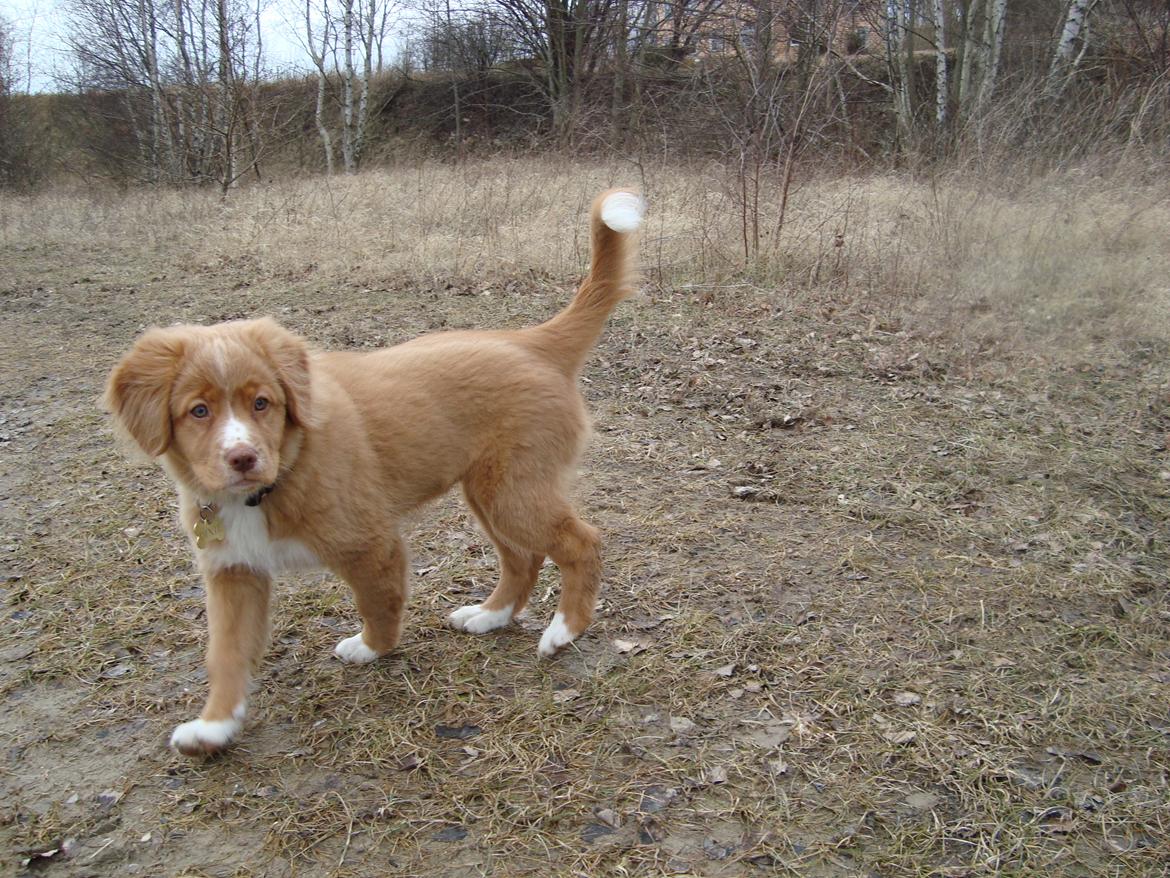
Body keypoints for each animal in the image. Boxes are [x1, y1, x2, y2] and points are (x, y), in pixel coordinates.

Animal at [105, 190, 645, 758]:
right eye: (198, 412)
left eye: (262, 403)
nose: (243, 458)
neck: (277, 476)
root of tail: (532, 341)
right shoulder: (235, 571)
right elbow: (226, 654)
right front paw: (214, 726)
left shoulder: (371, 543)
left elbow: (377, 604)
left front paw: (370, 649)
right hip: (488, 490)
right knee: (523, 558)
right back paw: (490, 615)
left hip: (513, 492)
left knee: (581, 542)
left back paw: (564, 630)